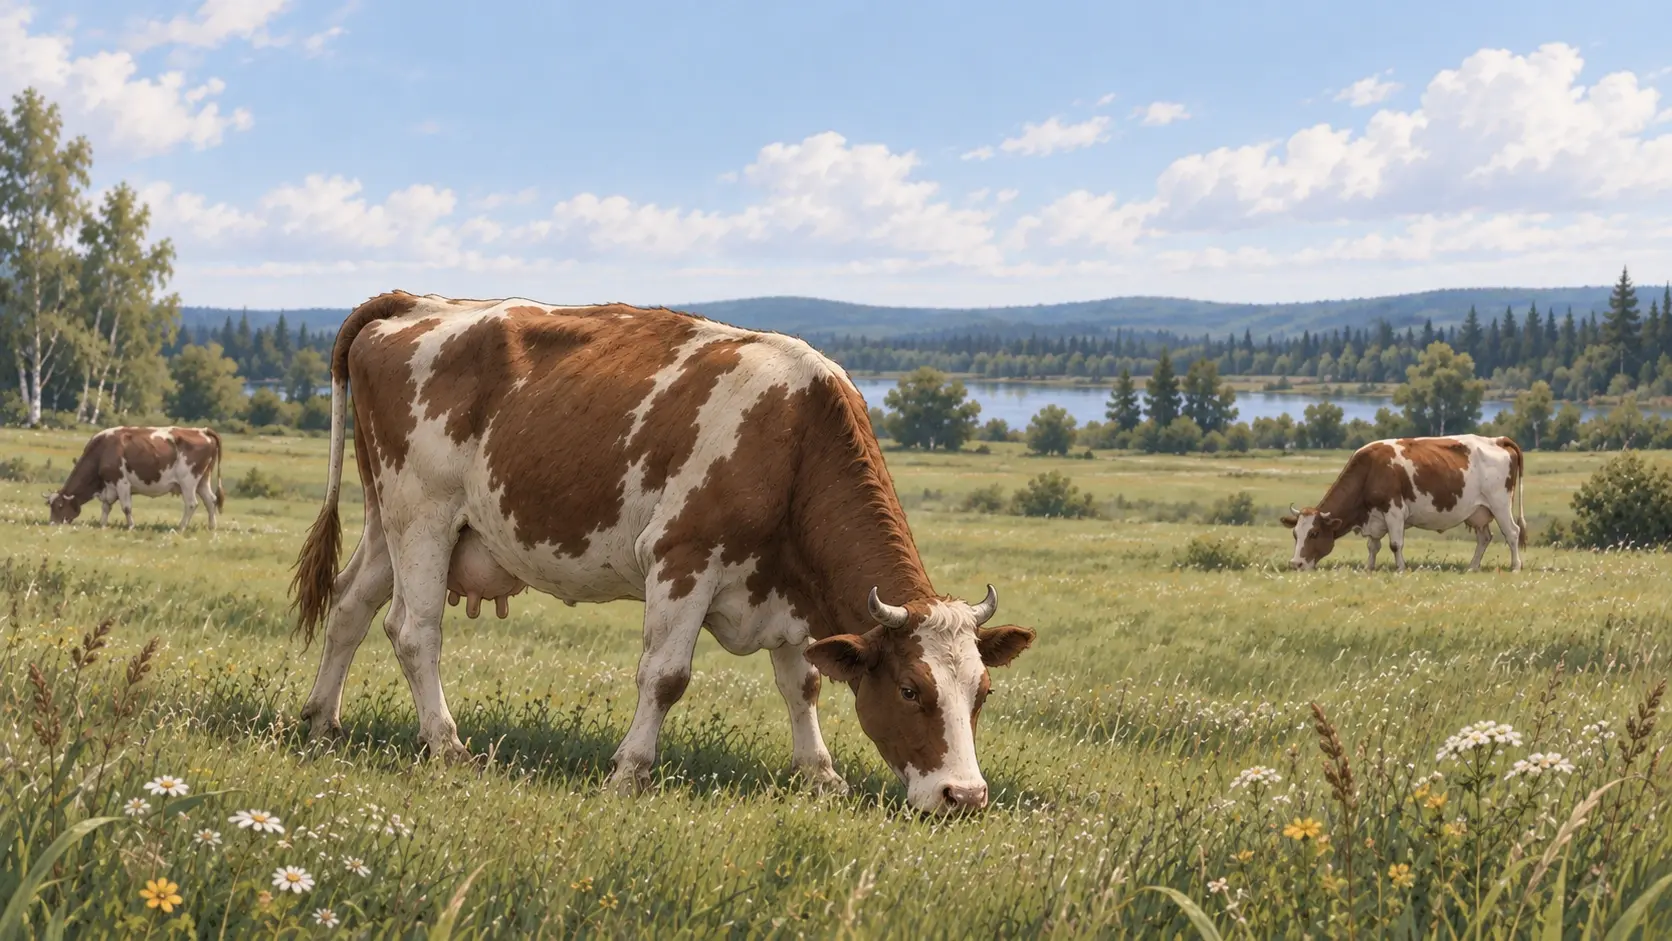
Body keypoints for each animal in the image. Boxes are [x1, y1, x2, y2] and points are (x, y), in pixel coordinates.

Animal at [46, 426, 225, 532]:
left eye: (60, 506)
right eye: (51, 506)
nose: (52, 523)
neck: (103, 450)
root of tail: (202, 430)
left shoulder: (122, 482)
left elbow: (126, 507)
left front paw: (131, 526)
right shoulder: (109, 485)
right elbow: (106, 507)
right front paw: (102, 525)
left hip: (188, 481)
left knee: (191, 504)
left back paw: (180, 528)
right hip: (203, 480)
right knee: (211, 500)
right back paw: (212, 527)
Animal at [290, 291, 1037, 813]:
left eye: (983, 691)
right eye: (911, 688)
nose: (964, 797)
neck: (792, 439)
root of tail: (416, 300)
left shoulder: (789, 591)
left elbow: (803, 683)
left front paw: (820, 775)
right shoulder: (683, 556)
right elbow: (666, 675)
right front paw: (631, 771)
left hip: (388, 519)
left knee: (351, 605)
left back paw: (321, 723)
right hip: (424, 512)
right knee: (414, 629)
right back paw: (447, 745)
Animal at [1280, 434, 1527, 573]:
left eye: (1314, 534)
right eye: (1295, 534)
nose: (1296, 564)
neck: (1370, 470)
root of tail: (1497, 440)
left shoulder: (1394, 511)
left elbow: (1395, 544)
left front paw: (1400, 568)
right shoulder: (1375, 517)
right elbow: (1373, 546)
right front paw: (1369, 567)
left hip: (1500, 504)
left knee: (1512, 533)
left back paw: (1516, 567)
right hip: (1478, 512)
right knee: (1484, 537)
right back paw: (1473, 567)